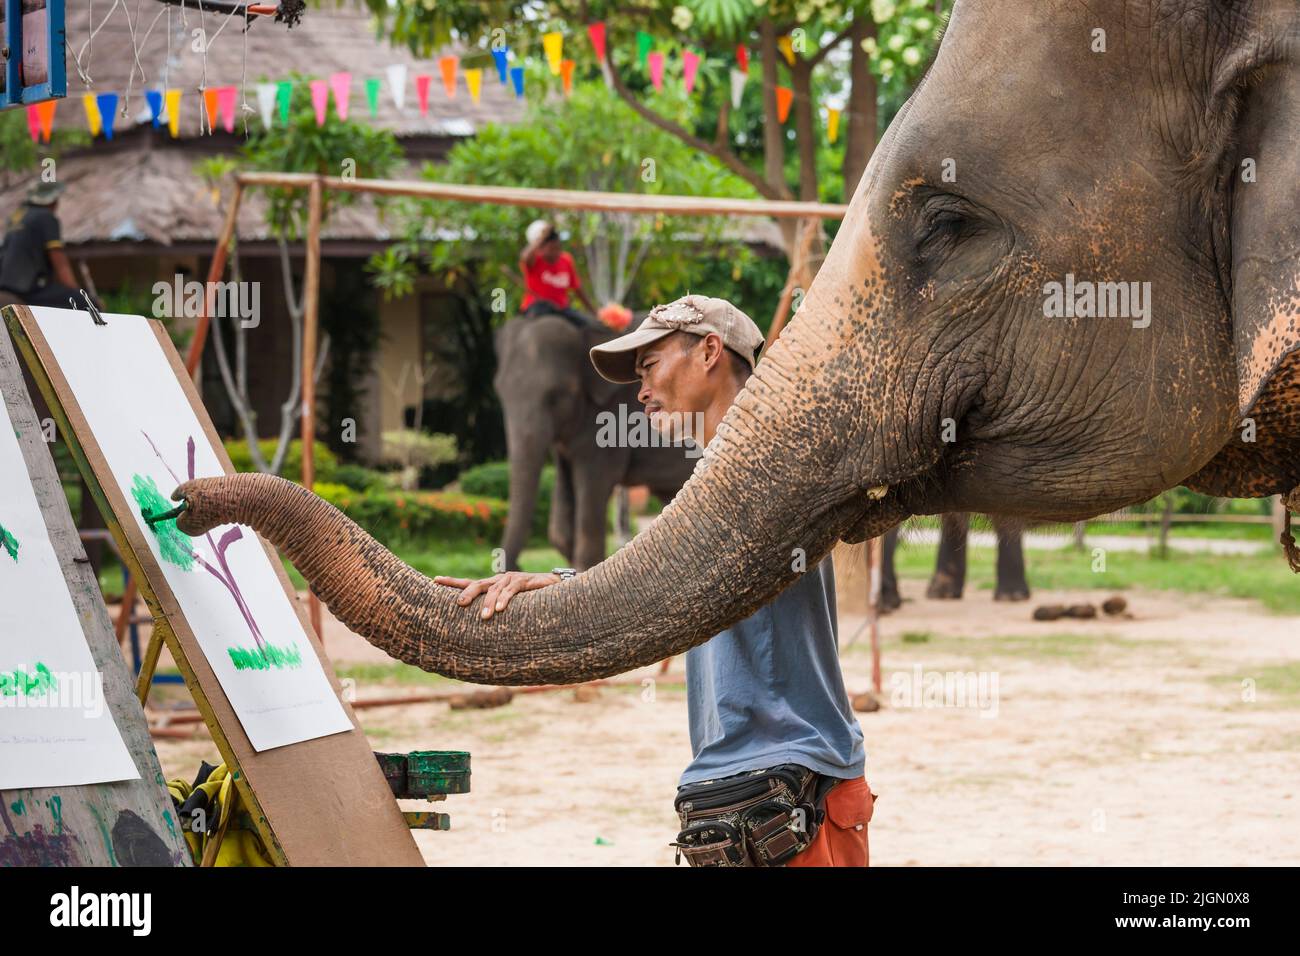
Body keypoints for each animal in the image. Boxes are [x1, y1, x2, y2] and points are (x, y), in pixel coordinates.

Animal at [491, 314, 696, 572]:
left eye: (556, 396)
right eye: (500, 393)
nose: (518, 565)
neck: (584, 330)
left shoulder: (608, 421)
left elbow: (593, 490)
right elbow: (560, 531)